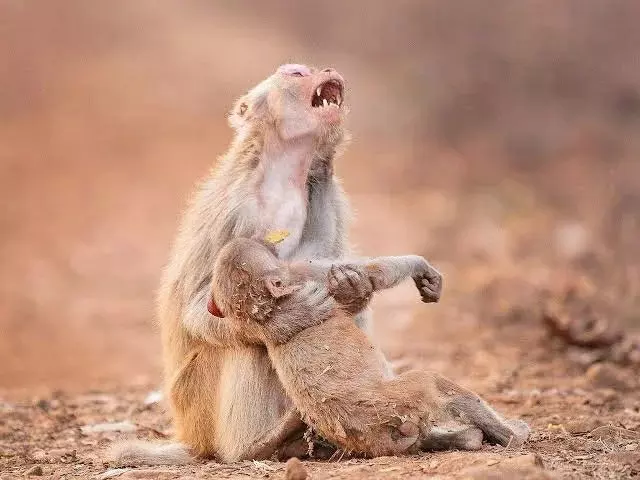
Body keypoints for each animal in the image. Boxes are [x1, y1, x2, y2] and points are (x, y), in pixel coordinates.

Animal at [206, 237, 530, 457]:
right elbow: (373, 272)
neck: (265, 311)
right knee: (433, 383)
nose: (265, 239)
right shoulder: (302, 277)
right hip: (400, 401)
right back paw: (511, 435)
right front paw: (419, 265)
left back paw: (467, 439)